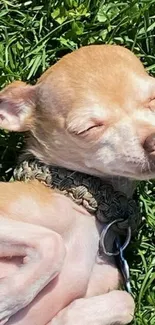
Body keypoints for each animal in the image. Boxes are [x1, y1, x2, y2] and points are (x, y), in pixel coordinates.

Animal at [0, 43, 155, 324]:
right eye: (88, 129)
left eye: (153, 100)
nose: (154, 140)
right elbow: (52, 242)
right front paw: (5, 300)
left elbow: (125, 301)